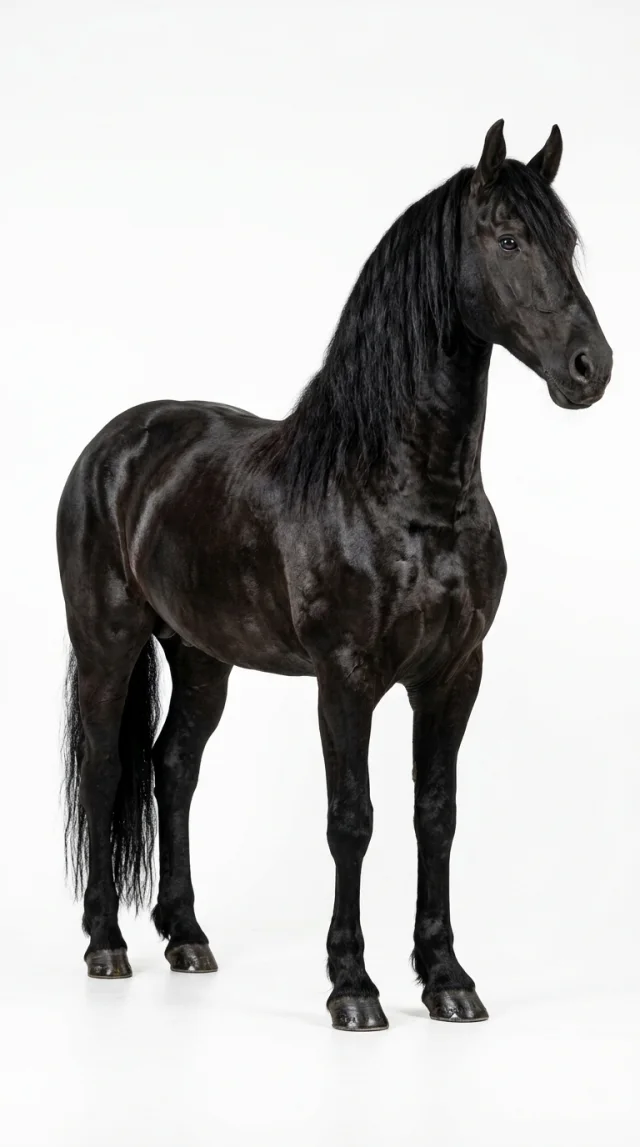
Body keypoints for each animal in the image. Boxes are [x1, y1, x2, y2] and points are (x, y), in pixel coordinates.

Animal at [58, 120, 612, 1031]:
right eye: (507, 239)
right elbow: (351, 819)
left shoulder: (453, 674)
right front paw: (353, 986)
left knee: (174, 768)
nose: (589, 367)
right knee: (109, 770)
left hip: (202, 657)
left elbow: (436, 815)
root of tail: (114, 445)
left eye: (568, 245)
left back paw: (187, 937)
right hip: (109, 643)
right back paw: (106, 944)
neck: (403, 488)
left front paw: (447, 977)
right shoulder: (346, 678)